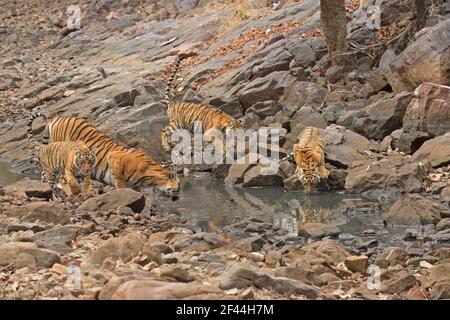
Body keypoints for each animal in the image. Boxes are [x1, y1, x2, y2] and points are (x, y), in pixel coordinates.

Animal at [26, 115, 179, 195]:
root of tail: (58, 117)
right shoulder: (115, 160)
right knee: (61, 177)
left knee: (46, 175)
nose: (177, 196)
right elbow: (121, 185)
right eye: (177, 188)